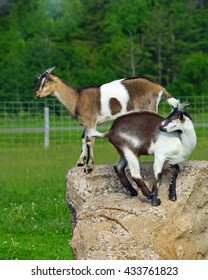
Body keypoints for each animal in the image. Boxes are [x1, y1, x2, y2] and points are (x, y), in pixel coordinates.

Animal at [34, 67, 179, 173]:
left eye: (45, 82)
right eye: (39, 81)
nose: (36, 94)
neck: (76, 98)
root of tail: (159, 87)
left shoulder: (90, 121)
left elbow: (89, 140)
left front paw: (88, 166)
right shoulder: (87, 124)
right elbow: (84, 138)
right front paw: (80, 162)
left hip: (148, 107)